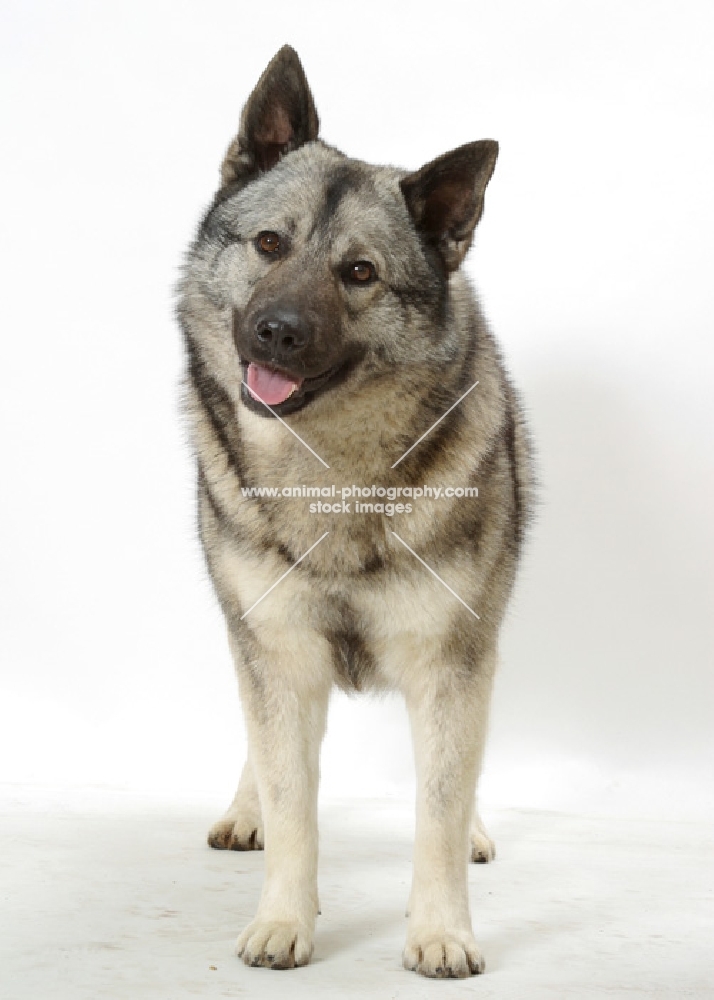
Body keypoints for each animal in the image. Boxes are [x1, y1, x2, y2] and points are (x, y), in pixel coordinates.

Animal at [177, 45, 532, 976]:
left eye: (360, 273)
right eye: (269, 243)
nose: (276, 331)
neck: (329, 471)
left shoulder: (452, 660)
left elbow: (439, 808)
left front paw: (441, 931)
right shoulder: (276, 648)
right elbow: (292, 799)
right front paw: (283, 919)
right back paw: (247, 811)